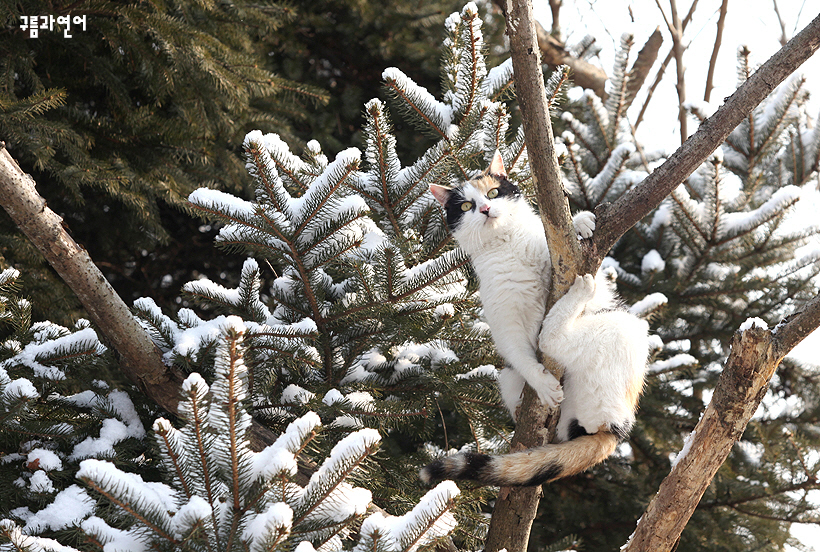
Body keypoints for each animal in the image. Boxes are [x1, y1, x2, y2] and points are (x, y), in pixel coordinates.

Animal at [422, 151, 648, 488]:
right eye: (465, 206)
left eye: (493, 193)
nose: (486, 209)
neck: (507, 245)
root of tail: (614, 431)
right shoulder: (504, 322)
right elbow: (519, 352)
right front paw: (543, 384)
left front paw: (581, 222)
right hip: (510, 375)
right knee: (547, 342)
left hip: (620, 325)